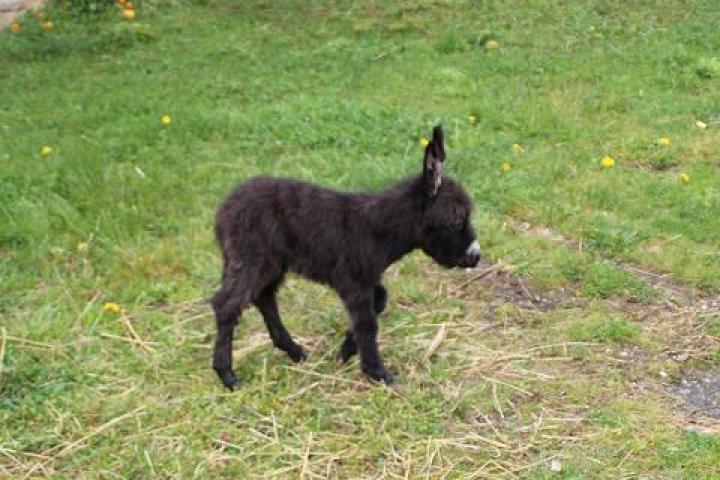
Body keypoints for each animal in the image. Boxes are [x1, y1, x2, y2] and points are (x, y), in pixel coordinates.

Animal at [211, 124, 480, 390]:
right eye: (456, 221)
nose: (475, 257)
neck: (379, 227)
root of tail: (224, 208)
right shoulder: (354, 281)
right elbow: (367, 323)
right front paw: (378, 373)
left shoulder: (366, 279)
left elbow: (379, 302)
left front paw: (346, 351)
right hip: (252, 258)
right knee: (227, 305)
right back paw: (227, 375)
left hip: (271, 263)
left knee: (264, 298)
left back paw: (294, 352)